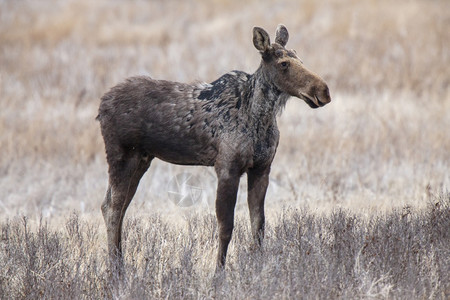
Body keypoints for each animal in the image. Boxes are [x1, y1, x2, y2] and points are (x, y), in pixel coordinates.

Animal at [97, 24, 330, 270]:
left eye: (299, 58)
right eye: (284, 63)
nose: (323, 91)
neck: (260, 117)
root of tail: (101, 106)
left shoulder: (262, 168)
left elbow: (258, 225)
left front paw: (257, 268)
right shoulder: (227, 167)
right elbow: (226, 227)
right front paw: (218, 272)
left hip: (141, 159)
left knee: (115, 206)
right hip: (121, 155)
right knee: (112, 208)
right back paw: (116, 270)